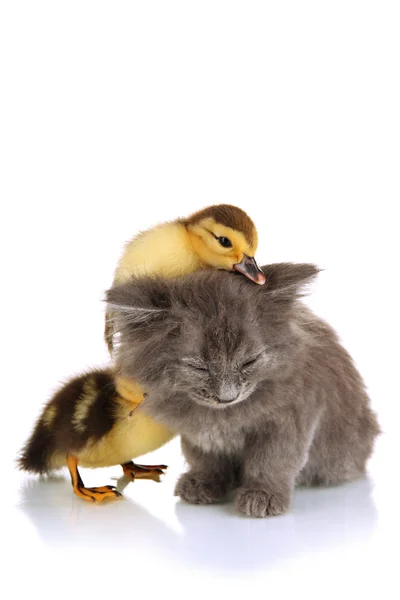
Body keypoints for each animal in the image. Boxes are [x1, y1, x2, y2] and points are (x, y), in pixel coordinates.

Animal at [105, 264, 378, 516]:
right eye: (199, 367)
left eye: (249, 362)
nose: (228, 397)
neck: (224, 416)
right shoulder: (198, 433)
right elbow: (204, 458)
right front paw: (204, 482)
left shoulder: (290, 419)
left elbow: (271, 461)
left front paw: (263, 494)